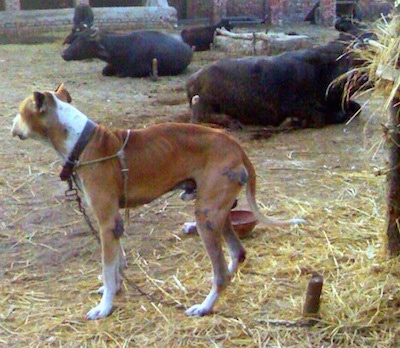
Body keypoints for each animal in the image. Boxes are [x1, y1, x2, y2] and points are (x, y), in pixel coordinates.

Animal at [10, 84, 304, 320]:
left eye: (21, 112)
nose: (11, 124)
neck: (82, 142)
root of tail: (236, 145)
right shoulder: (114, 223)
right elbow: (118, 263)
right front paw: (115, 287)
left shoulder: (106, 222)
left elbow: (107, 267)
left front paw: (104, 307)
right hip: (217, 214)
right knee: (236, 253)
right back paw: (230, 274)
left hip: (205, 217)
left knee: (219, 273)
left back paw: (204, 306)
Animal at [61, 27, 193, 78]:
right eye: (77, 38)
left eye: (82, 41)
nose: (64, 54)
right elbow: (104, 71)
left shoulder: (140, 70)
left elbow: (122, 74)